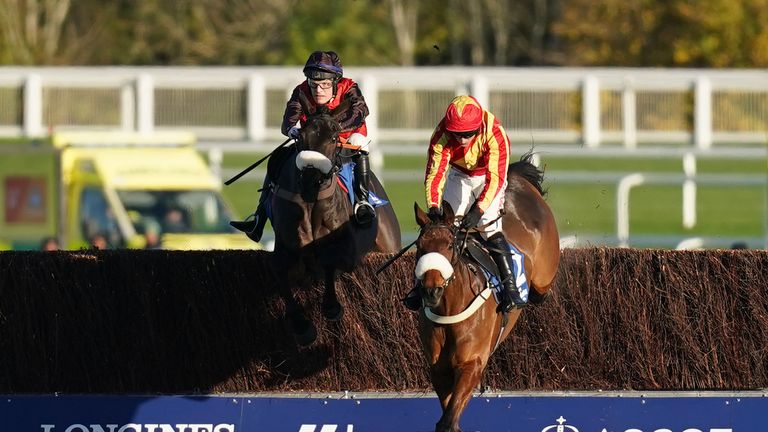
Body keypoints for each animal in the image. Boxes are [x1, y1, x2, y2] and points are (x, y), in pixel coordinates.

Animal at [270, 103, 402, 346]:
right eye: (301, 136)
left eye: (333, 137)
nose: (310, 179)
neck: (311, 200)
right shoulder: (285, 242)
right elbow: (280, 270)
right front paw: (302, 327)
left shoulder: (347, 251)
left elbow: (329, 261)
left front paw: (331, 307)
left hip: (388, 244)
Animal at [414, 154, 560, 432]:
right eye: (420, 246)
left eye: (450, 245)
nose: (431, 289)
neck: (450, 308)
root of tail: (518, 178)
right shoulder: (438, 368)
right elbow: (447, 415)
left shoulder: (472, 364)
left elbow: (448, 420)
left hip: (545, 271)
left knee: (540, 288)